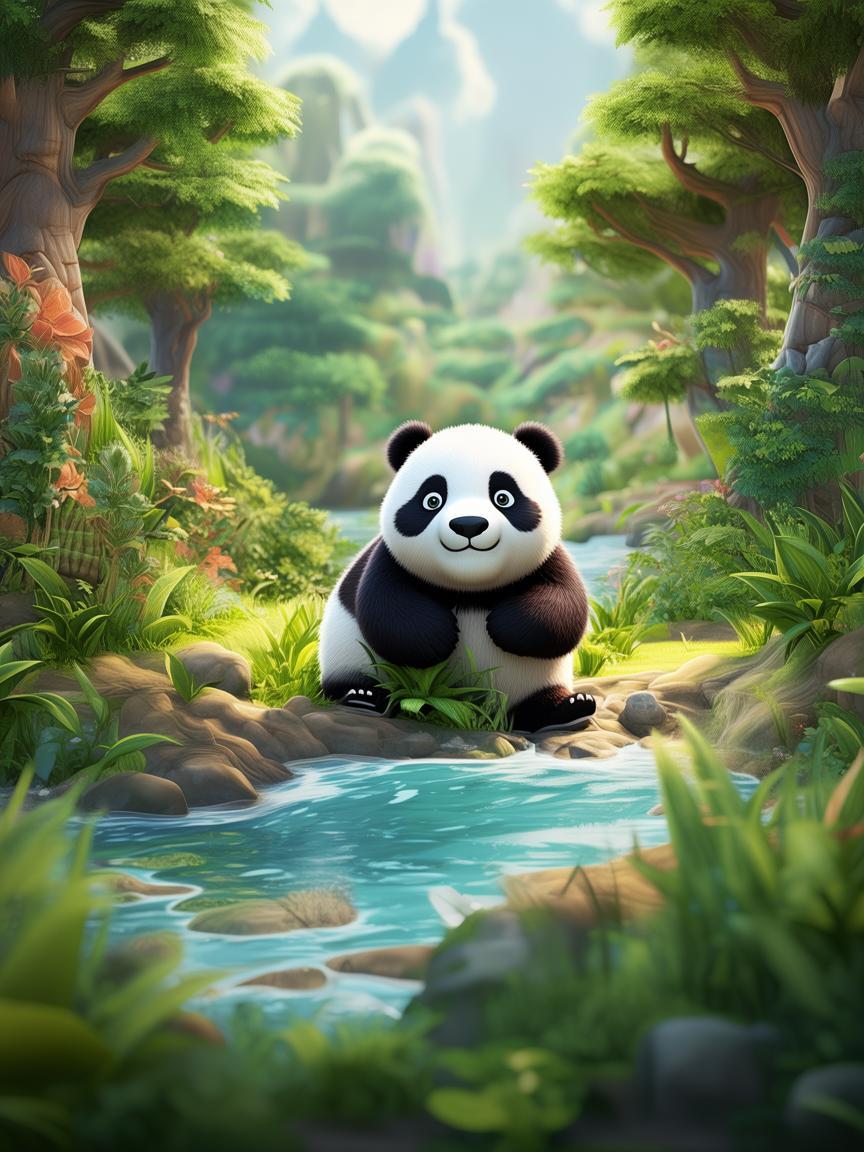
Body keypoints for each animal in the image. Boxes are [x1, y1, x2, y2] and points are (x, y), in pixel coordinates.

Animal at [318, 420, 596, 734]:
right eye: (432, 500)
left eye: (503, 497)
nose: (469, 525)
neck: (470, 587)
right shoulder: (388, 562)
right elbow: (387, 614)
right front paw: (441, 636)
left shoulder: (550, 561)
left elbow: (564, 610)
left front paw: (502, 624)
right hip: (350, 658)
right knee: (355, 680)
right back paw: (363, 697)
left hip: (538, 681)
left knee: (537, 703)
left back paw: (569, 708)